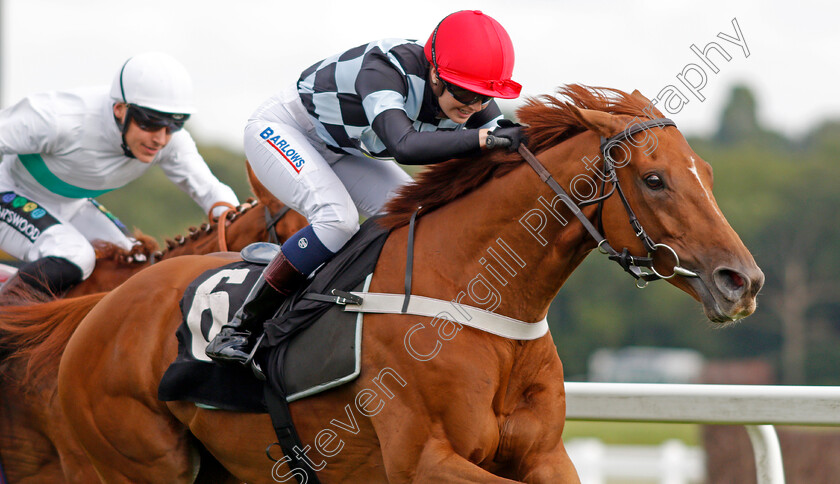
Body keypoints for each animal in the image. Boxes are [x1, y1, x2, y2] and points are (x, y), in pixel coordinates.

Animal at [49, 85, 764, 482]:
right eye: (655, 180)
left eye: (703, 171)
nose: (743, 281)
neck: (477, 301)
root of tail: (97, 312)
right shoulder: (426, 461)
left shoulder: (544, 456)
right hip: (136, 463)